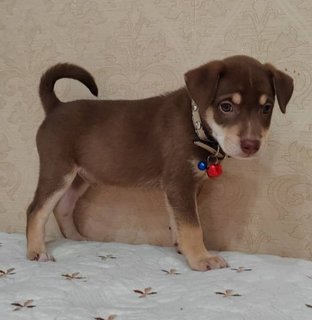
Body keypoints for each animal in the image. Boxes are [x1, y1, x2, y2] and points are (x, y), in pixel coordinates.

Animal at [26, 55, 292, 270]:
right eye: (226, 106)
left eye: (267, 108)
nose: (252, 145)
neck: (195, 124)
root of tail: (55, 107)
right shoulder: (179, 183)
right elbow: (192, 226)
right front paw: (201, 258)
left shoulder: (183, 187)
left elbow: (178, 222)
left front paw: (183, 248)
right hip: (58, 169)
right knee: (36, 209)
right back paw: (37, 251)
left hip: (80, 176)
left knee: (63, 207)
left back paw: (76, 238)